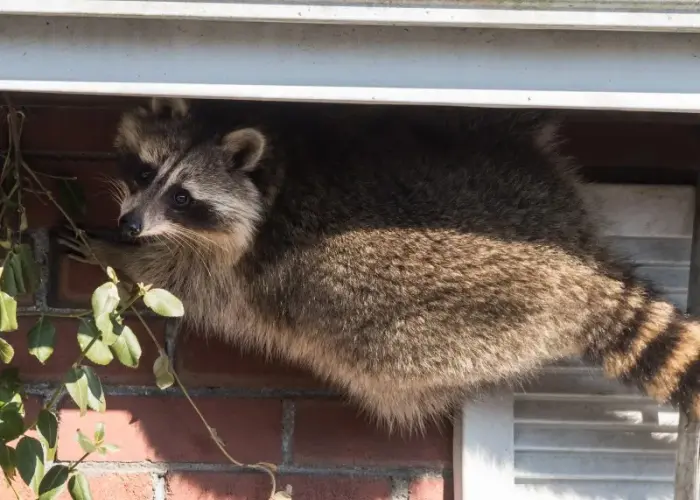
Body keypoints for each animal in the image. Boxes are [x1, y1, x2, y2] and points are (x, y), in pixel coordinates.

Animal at [61, 97, 700, 430]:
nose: (129, 225)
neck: (275, 168)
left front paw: (114, 253)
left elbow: (180, 283)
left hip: (443, 326)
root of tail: (580, 272)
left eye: (183, 198)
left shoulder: (234, 272)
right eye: (145, 171)